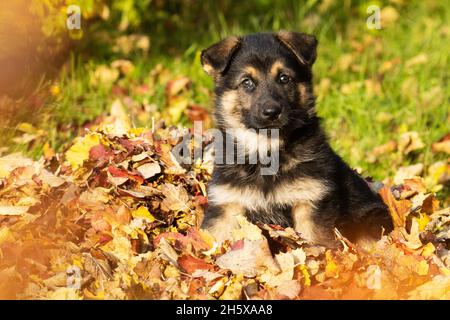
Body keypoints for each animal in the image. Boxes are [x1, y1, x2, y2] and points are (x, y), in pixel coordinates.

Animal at [199, 31, 392, 248]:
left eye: (284, 78)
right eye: (247, 82)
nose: (272, 112)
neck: (267, 151)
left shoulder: (310, 203)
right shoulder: (226, 205)